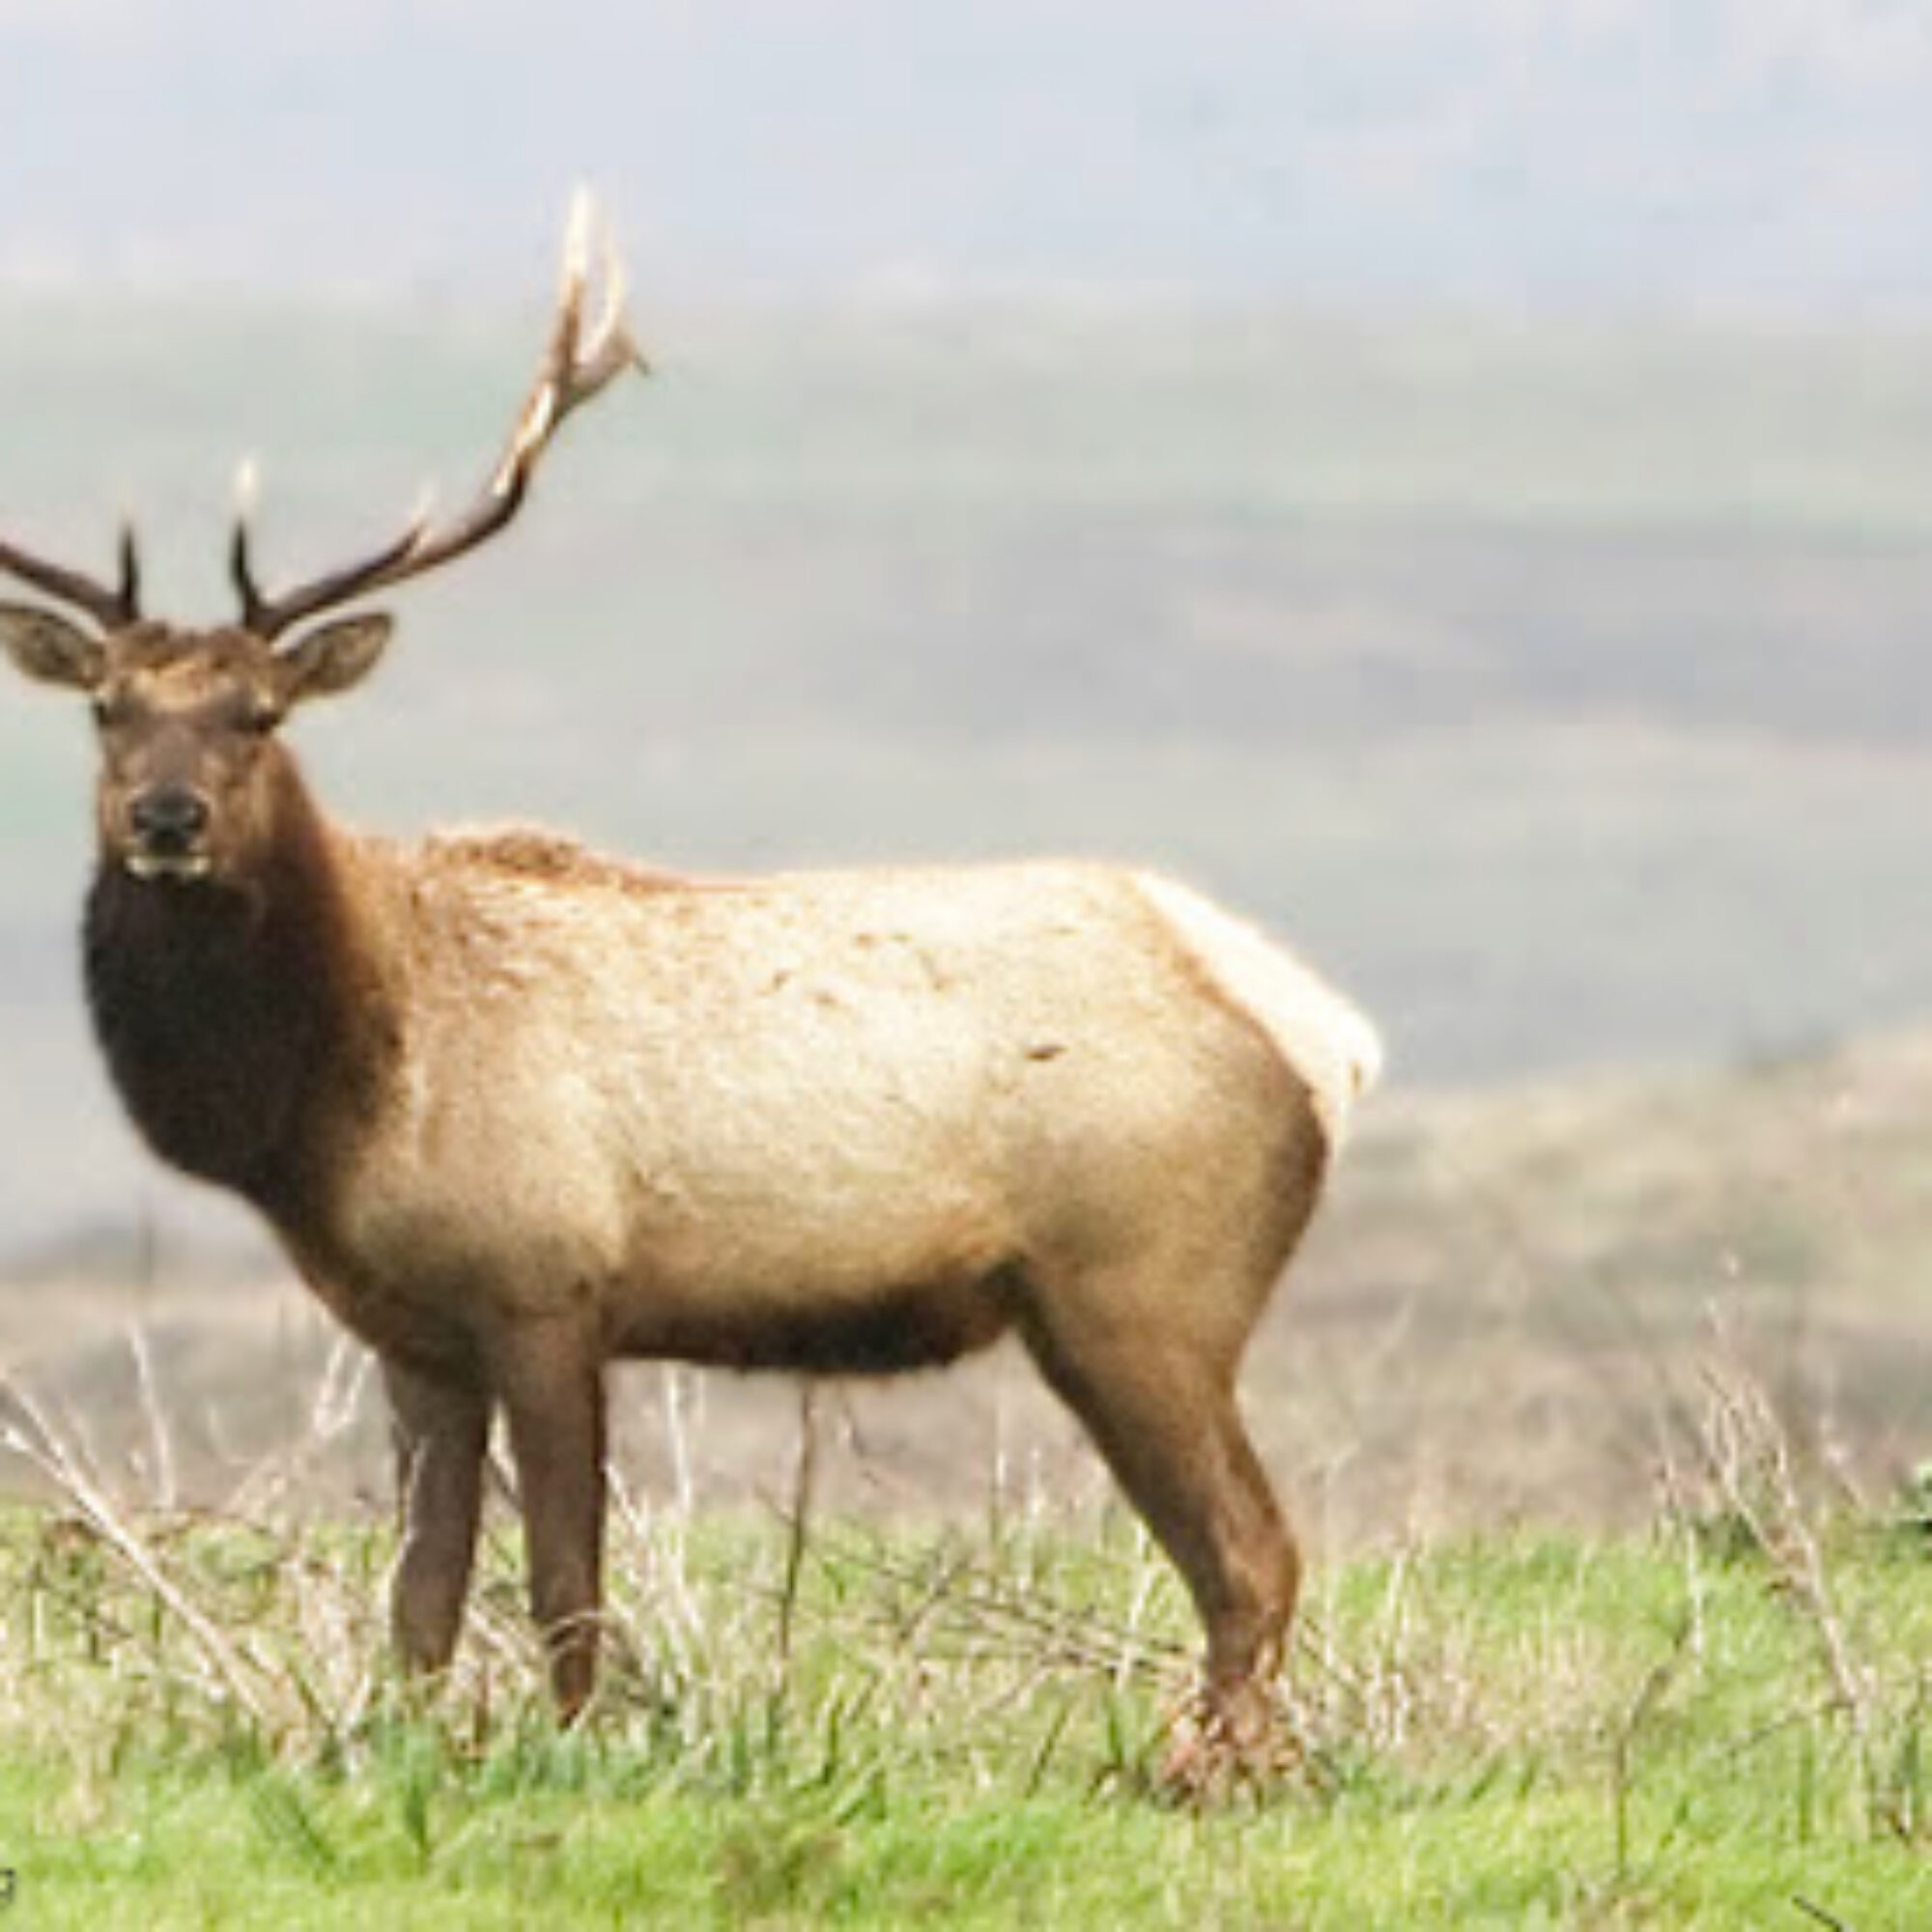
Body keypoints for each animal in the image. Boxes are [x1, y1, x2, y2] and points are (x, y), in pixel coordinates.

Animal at [0, 195, 1381, 1787]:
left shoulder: (549, 1281)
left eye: (259, 713)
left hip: (1147, 1287)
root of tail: (1327, 1034)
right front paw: (399, 1743)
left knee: (1254, 1552)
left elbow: (561, 1576)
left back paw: (1206, 1774)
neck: (338, 1096)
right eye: (108, 709)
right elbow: (420, 1595)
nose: (165, 818)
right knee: (1240, 1555)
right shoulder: (414, 1330)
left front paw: (576, 1748)